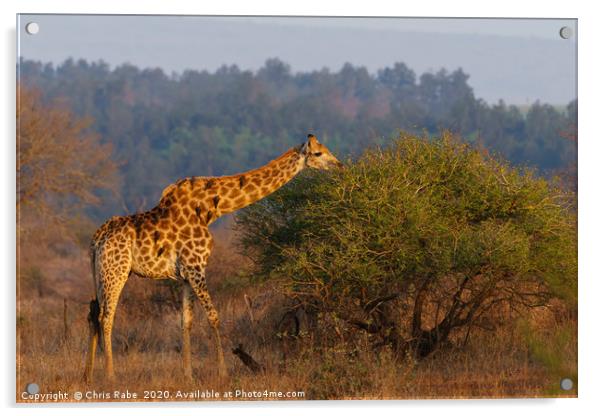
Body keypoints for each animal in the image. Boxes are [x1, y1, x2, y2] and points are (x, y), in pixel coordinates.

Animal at [82, 134, 340, 384]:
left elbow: (186, 321)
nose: (339, 166)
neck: (211, 209)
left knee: (94, 313)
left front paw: (188, 375)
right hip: (116, 270)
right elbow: (214, 317)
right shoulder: (196, 266)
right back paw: (110, 375)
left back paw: (88, 375)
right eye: (319, 153)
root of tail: (96, 240)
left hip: (101, 273)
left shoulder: (185, 274)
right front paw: (223, 373)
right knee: (107, 316)